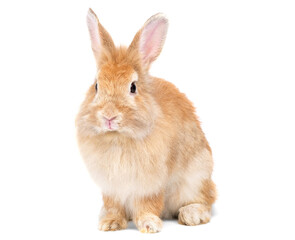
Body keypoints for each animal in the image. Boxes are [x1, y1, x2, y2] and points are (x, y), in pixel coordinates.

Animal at [76, 8, 217, 233]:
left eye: (133, 87)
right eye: (96, 86)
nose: (109, 116)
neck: (118, 137)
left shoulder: (150, 184)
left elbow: (148, 204)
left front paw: (149, 224)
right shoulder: (111, 186)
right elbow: (113, 204)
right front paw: (110, 223)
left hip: (197, 176)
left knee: (206, 199)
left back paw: (191, 214)